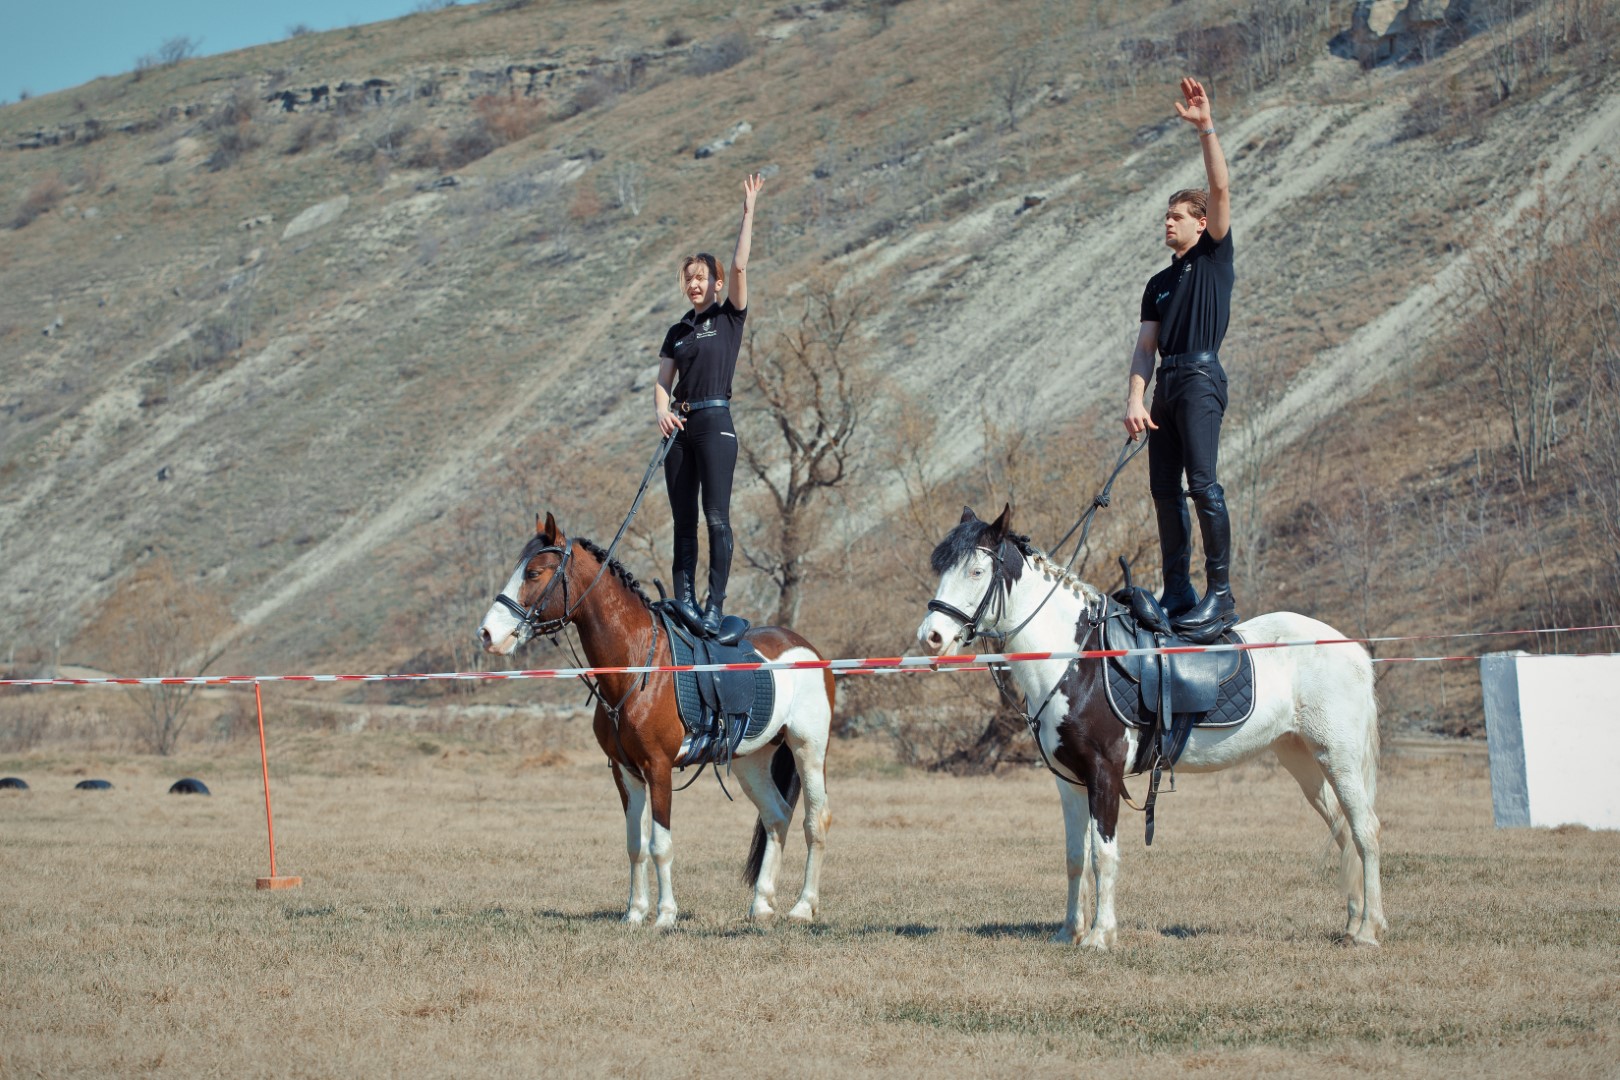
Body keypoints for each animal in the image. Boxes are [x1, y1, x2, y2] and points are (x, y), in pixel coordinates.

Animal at [478, 513, 833, 929]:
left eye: (533, 573)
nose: (487, 634)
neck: (638, 665)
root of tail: (805, 646)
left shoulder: (658, 767)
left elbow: (660, 844)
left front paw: (665, 915)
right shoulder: (626, 772)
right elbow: (636, 845)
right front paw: (634, 913)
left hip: (808, 749)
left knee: (815, 820)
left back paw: (803, 907)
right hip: (753, 760)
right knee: (776, 816)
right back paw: (761, 904)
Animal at [916, 505, 1385, 948]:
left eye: (977, 571)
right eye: (942, 569)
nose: (931, 637)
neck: (1077, 660)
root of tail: (1352, 649)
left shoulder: (1104, 775)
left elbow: (1104, 856)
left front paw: (1100, 936)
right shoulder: (1070, 782)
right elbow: (1074, 857)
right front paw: (1069, 932)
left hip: (1339, 759)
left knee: (1365, 831)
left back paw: (1369, 929)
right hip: (1303, 760)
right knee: (1343, 830)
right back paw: (1351, 923)